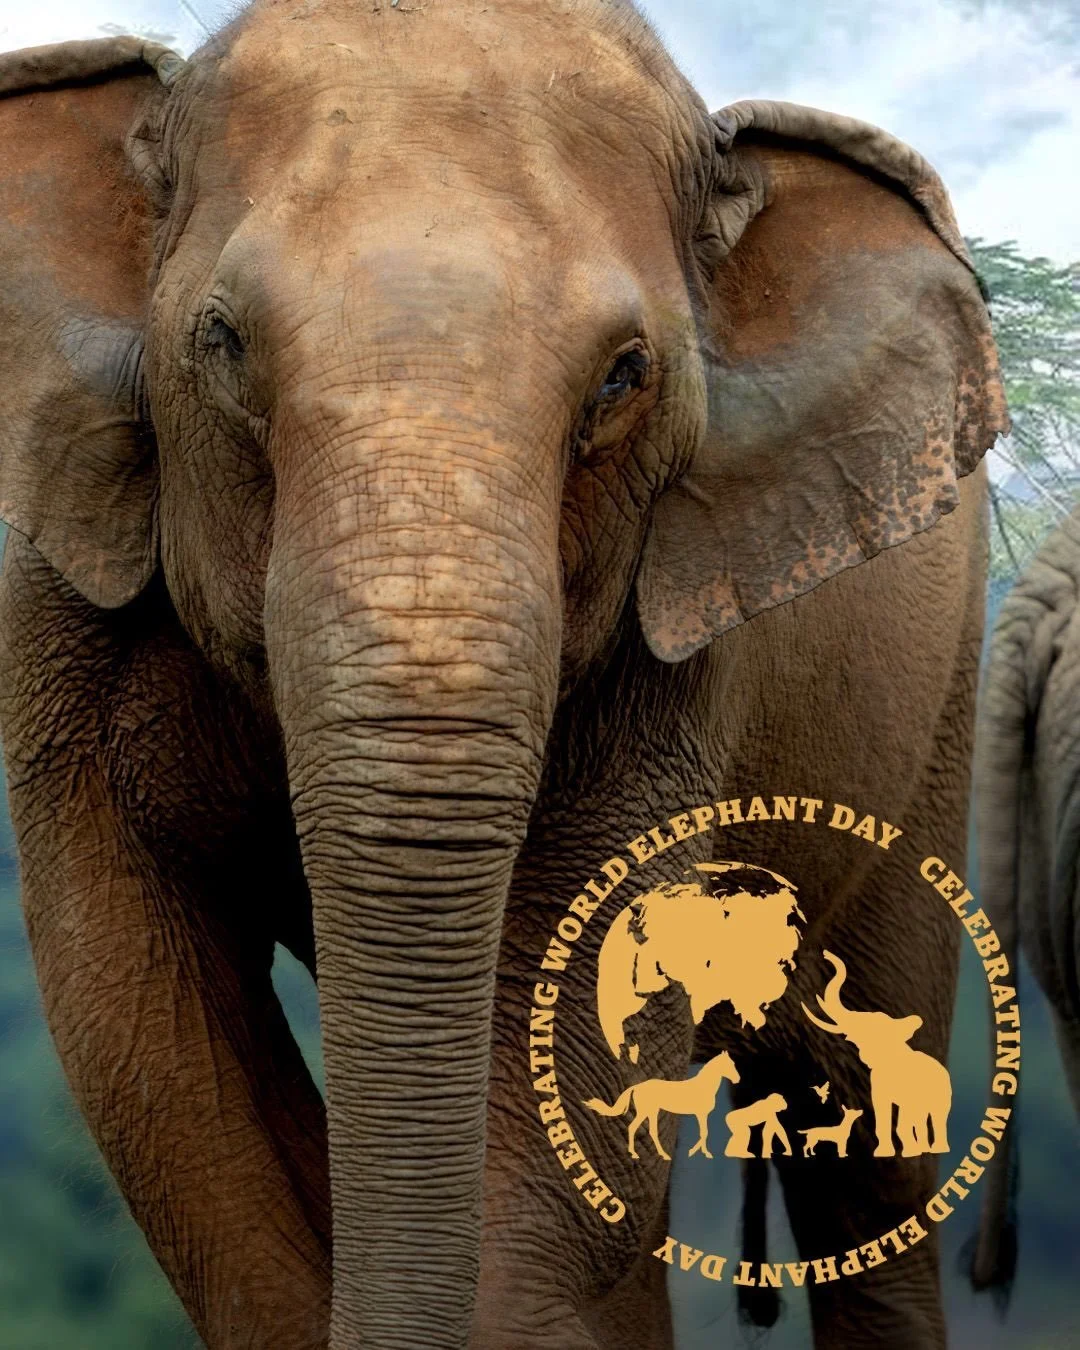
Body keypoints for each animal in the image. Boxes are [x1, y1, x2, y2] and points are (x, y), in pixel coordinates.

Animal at [0, 3, 1006, 1349]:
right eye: (221, 344)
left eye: (623, 376)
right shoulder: (64, 623)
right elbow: (157, 1066)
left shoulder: (680, 648)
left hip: (939, 703)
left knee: (865, 1160)